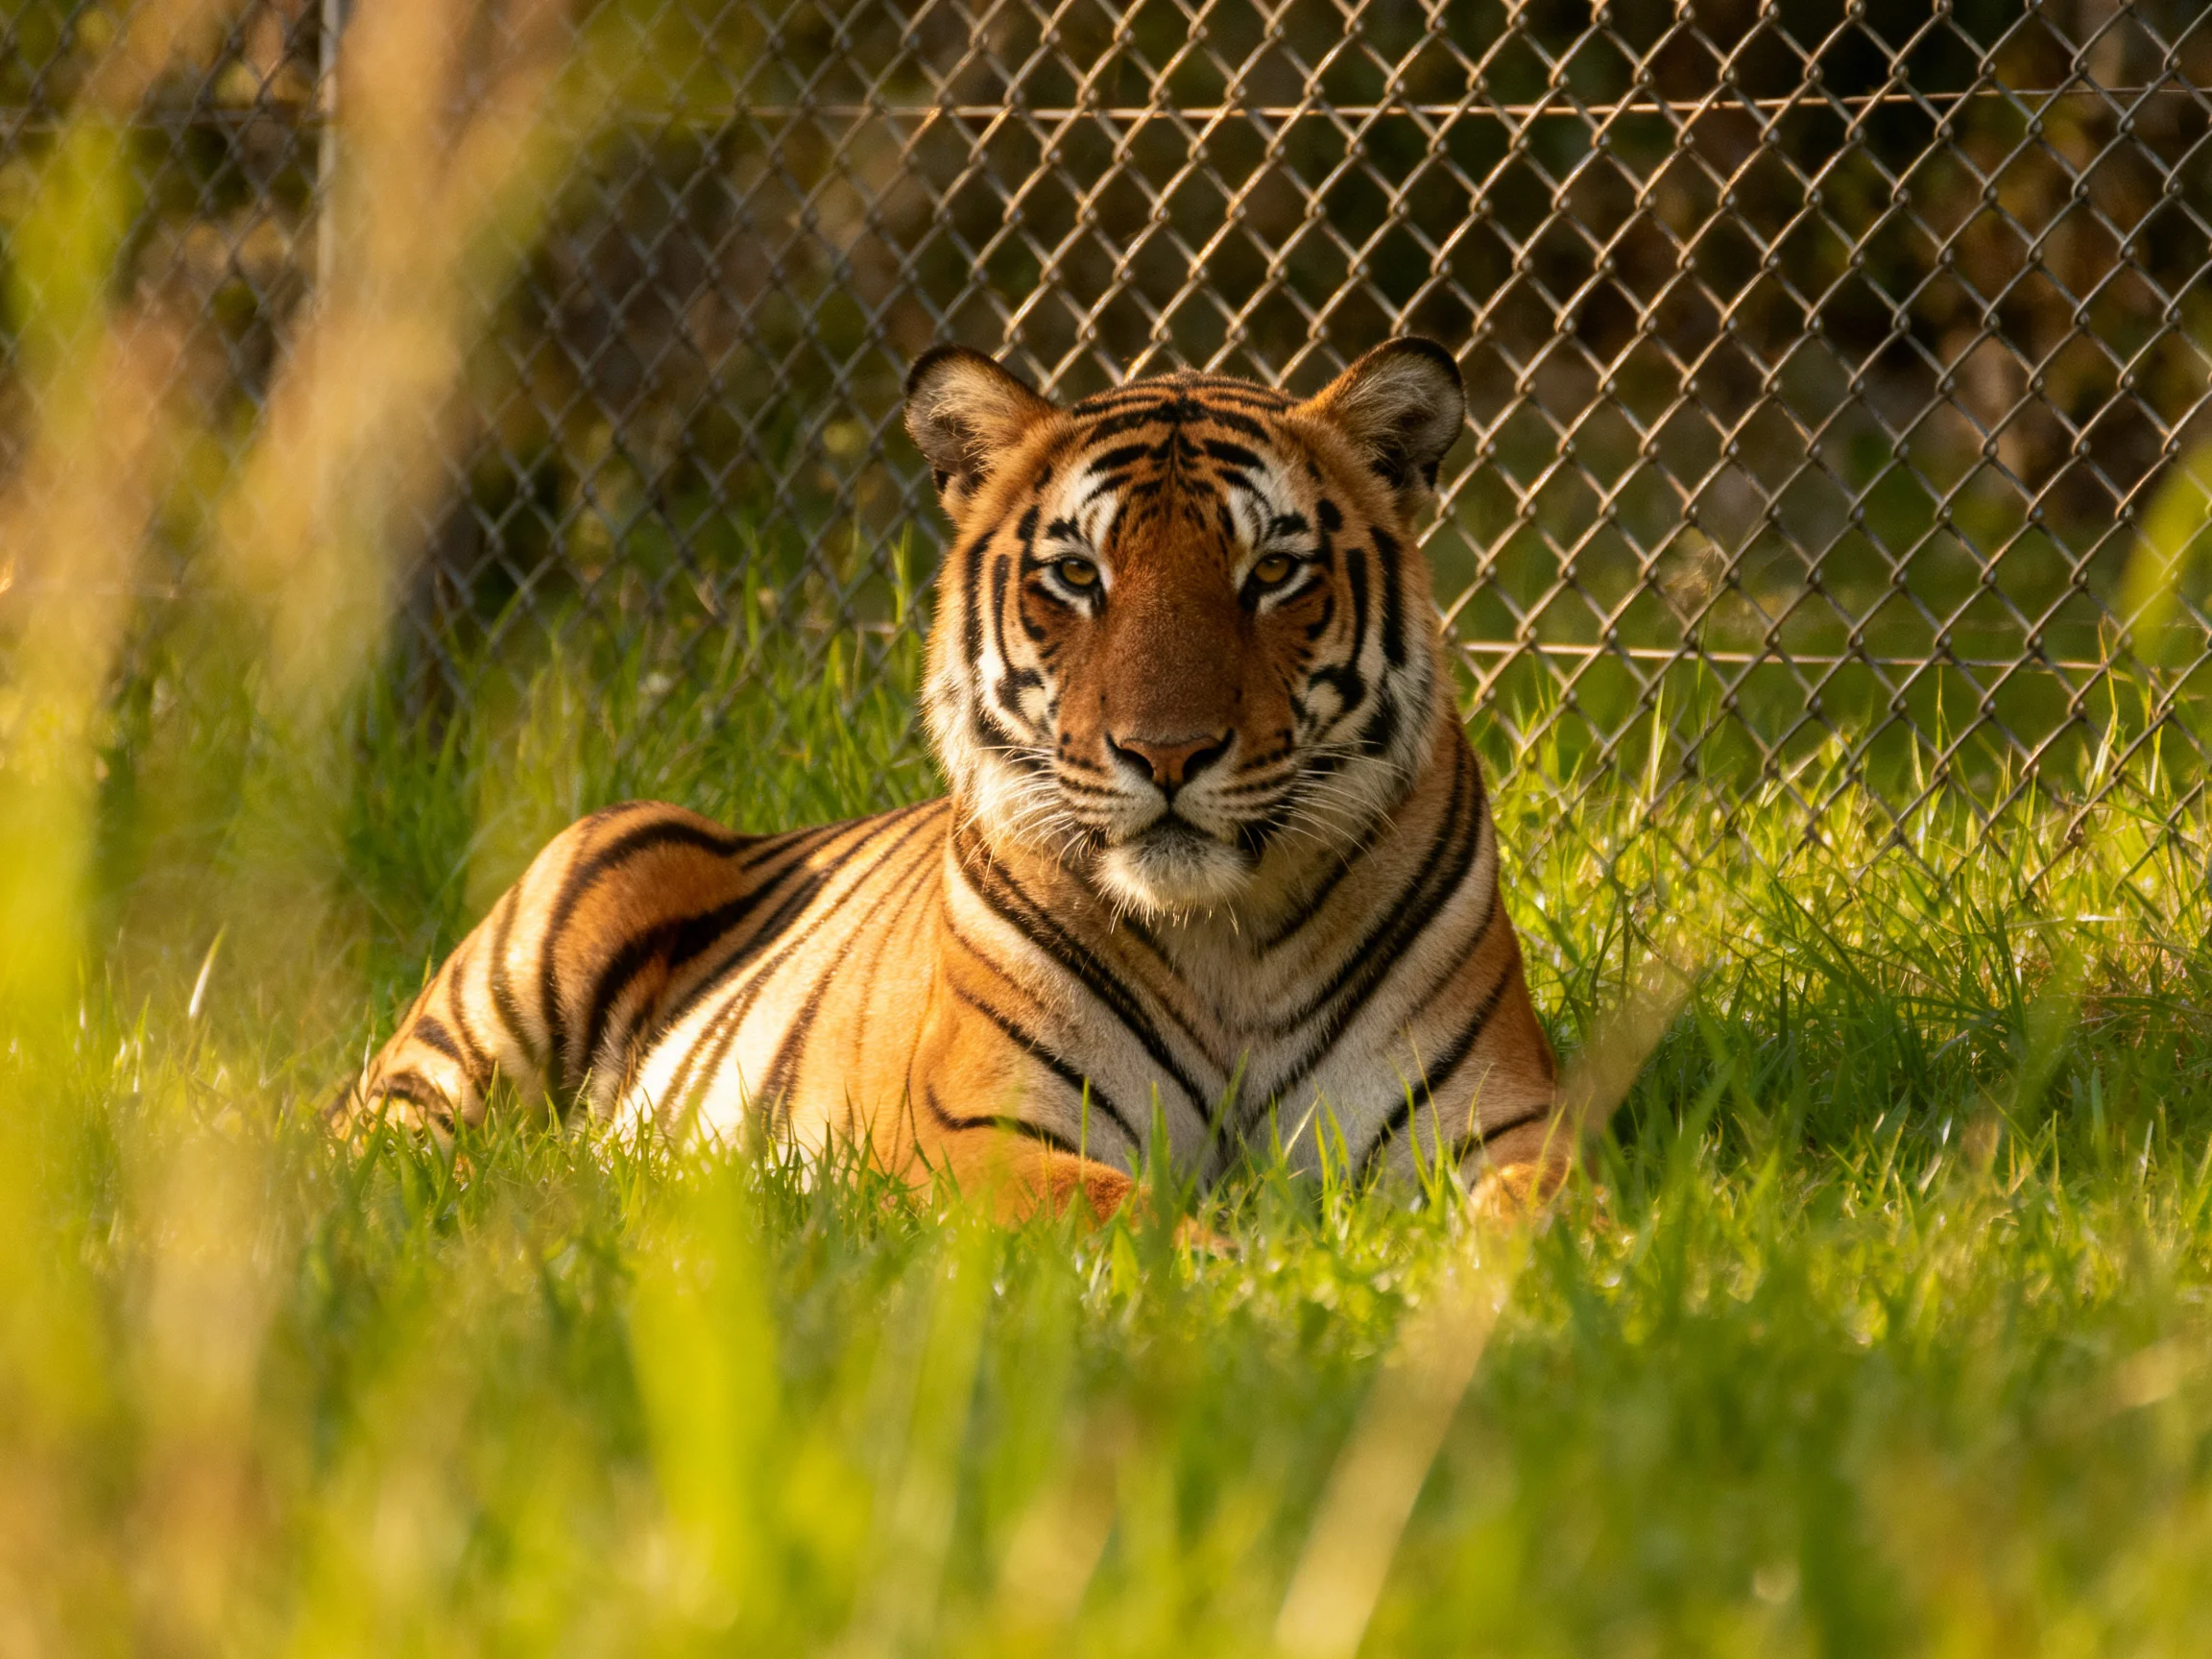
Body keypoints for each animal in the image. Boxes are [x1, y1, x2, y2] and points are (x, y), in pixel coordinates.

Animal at [341, 338, 1563, 1222]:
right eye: (1077, 576)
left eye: (1271, 573)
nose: (1167, 753)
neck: (1225, 939)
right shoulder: (989, 1135)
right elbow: (1135, 1217)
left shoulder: (1493, 1124)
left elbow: (1550, 1213)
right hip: (535, 949)